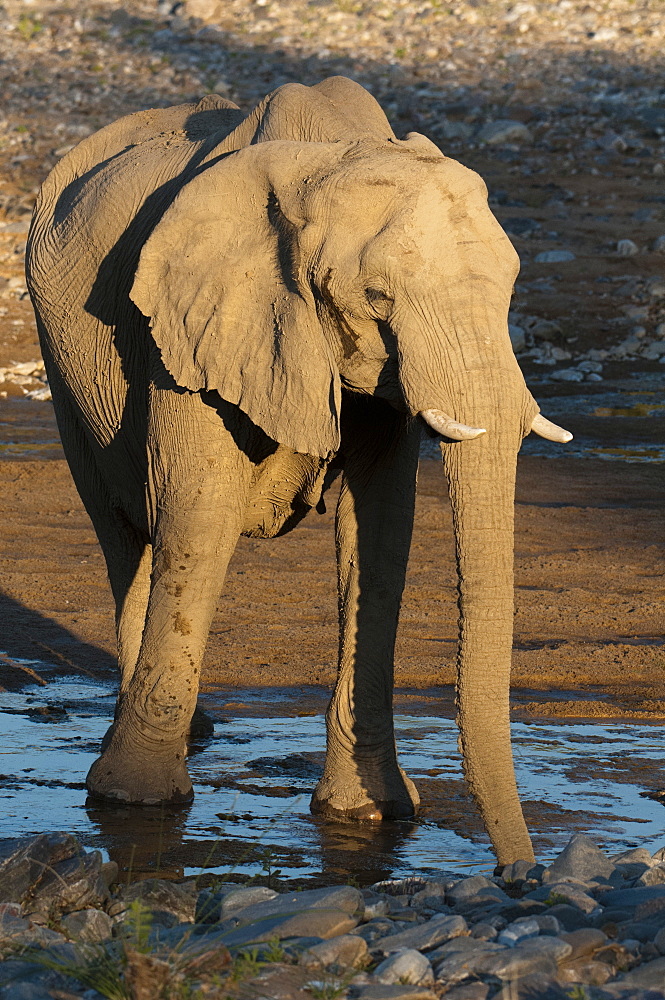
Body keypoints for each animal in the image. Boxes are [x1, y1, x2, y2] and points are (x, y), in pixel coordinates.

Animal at [26, 76, 568, 868]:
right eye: (378, 297)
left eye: (511, 288)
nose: (521, 878)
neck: (331, 160)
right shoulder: (190, 324)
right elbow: (199, 512)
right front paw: (135, 804)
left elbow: (380, 531)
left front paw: (370, 812)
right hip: (66, 366)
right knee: (126, 531)